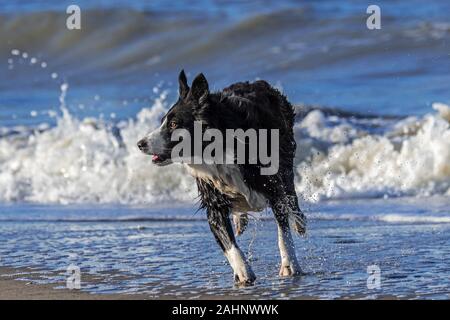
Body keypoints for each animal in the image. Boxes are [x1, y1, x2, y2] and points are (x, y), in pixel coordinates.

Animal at [137, 70, 306, 284]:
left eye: (174, 124)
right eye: (162, 122)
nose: (140, 144)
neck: (217, 149)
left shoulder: (271, 186)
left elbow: (283, 233)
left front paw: (289, 265)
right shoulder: (213, 199)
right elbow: (227, 241)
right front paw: (243, 272)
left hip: (285, 161)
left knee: (291, 196)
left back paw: (299, 222)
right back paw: (240, 219)